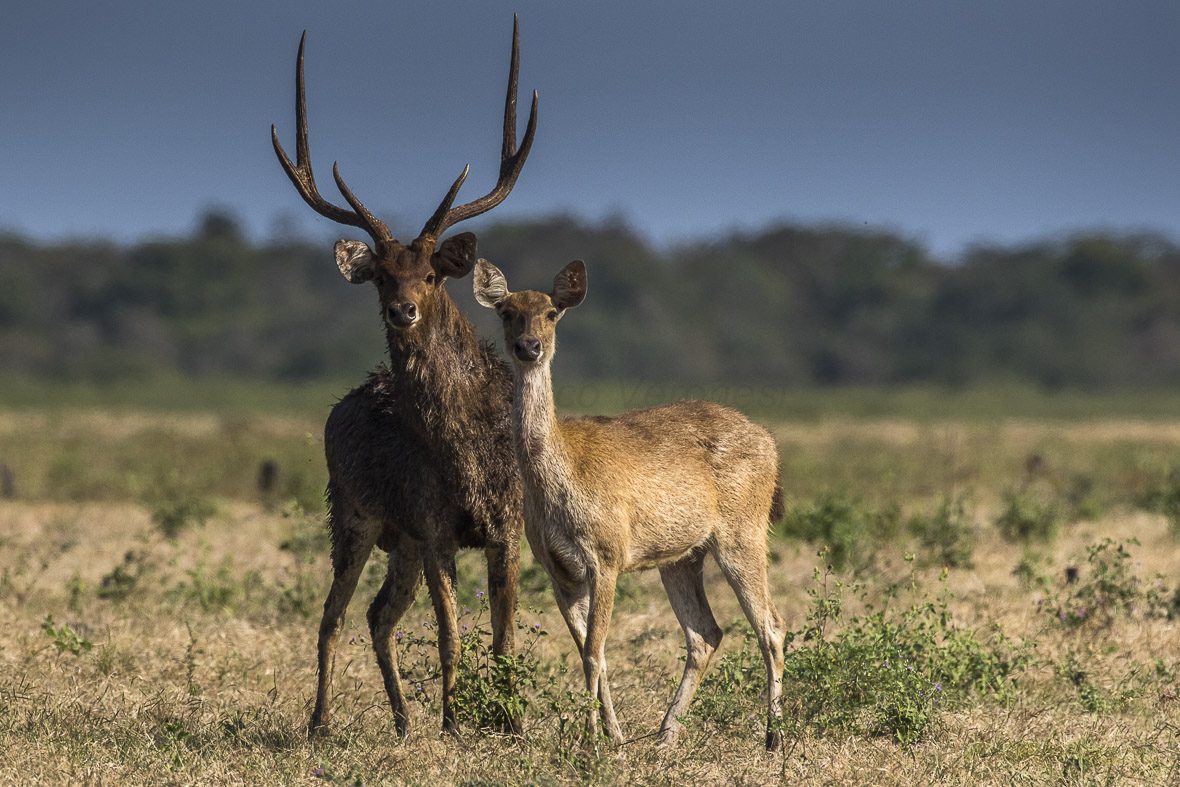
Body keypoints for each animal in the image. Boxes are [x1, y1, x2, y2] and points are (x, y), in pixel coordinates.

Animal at [271, 18, 537, 738]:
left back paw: (400, 719)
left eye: (431, 273)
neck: (468, 451)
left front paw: (507, 722)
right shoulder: (434, 523)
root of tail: (342, 403)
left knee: (377, 615)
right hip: (353, 511)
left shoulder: (507, 523)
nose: (404, 309)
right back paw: (321, 722)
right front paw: (454, 723)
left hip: (400, 543)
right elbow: (450, 635)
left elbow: (506, 636)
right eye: (383, 276)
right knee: (333, 615)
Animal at [472, 259, 789, 750]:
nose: (529, 347)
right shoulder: (558, 570)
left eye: (551, 312)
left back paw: (774, 739)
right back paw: (663, 735)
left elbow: (593, 650)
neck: (561, 481)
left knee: (772, 626)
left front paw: (592, 742)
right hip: (681, 556)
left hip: (744, 532)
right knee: (705, 633)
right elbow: (591, 652)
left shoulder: (607, 555)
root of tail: (772, 446)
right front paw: (614, 738)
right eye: (507, 312)